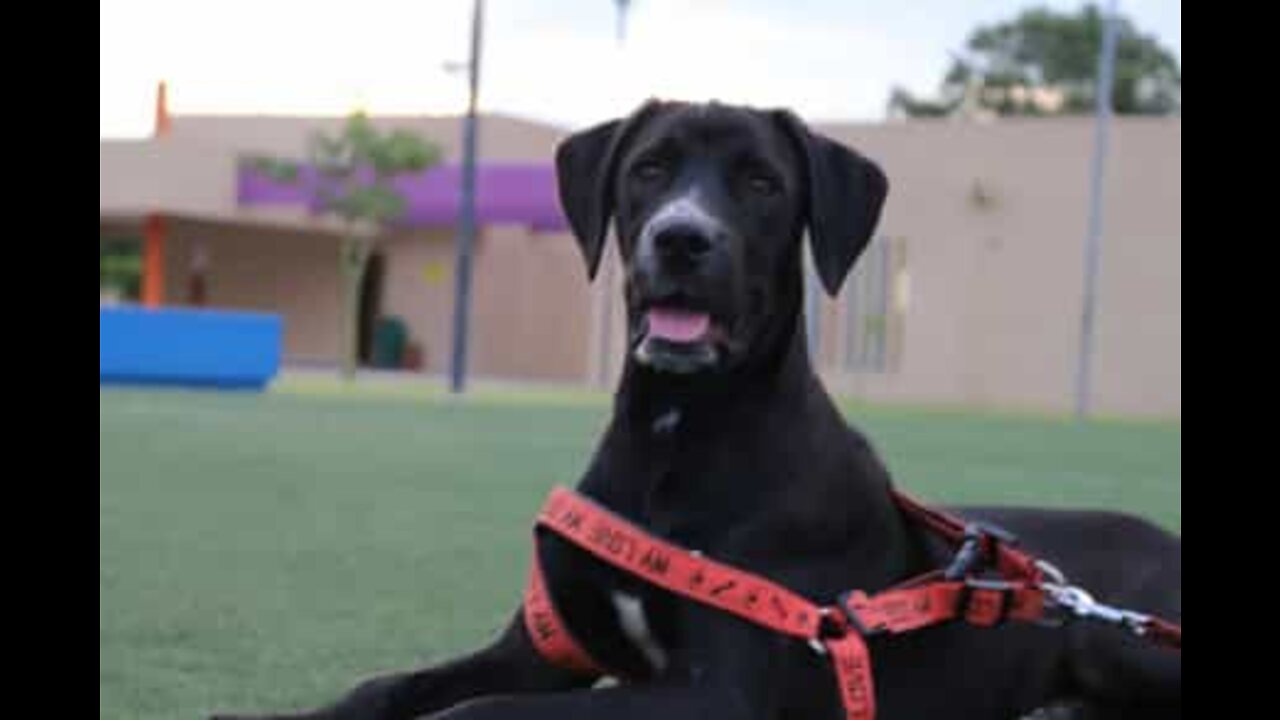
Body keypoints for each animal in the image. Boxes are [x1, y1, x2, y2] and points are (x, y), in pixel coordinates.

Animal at [220, 101, 1177, 717]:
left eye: (761, 183)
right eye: (648, 169)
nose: (681, 238)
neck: (673, 432)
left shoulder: (717, 690)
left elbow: (480, 714)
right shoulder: (539, 647)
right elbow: (385, 688)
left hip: (1116, 639)